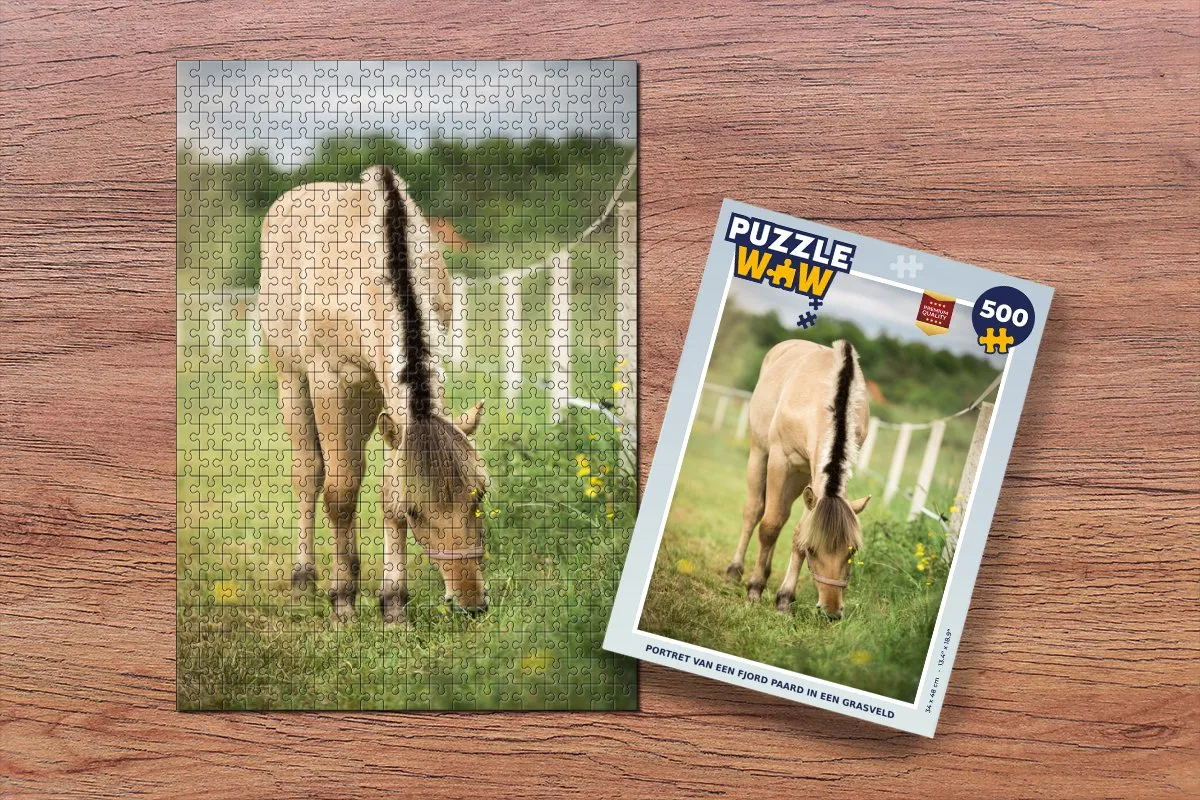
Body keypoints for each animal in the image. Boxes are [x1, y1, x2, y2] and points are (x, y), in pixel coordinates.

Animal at [259, 165, 489, 624]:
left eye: (478, 495)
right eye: (419, 512)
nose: (471, 602)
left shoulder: (390, 401)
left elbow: (386, 493)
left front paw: (393, 602)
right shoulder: (331, 381)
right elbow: (341, 493)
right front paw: (342, 601)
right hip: (292, 381)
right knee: (309, 473)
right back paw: (304, 578)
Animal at [725, 339, 871, 620]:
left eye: (852, 550)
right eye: (815, 550)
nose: (831, 611)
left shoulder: (814, 479)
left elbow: (796, 534)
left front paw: (784, 599)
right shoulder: (781, 461)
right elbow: (769, 527)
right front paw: (755, 589)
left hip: (799, 477)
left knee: (781, 516)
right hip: (760, 455)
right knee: (755, 512)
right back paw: (735, 571)